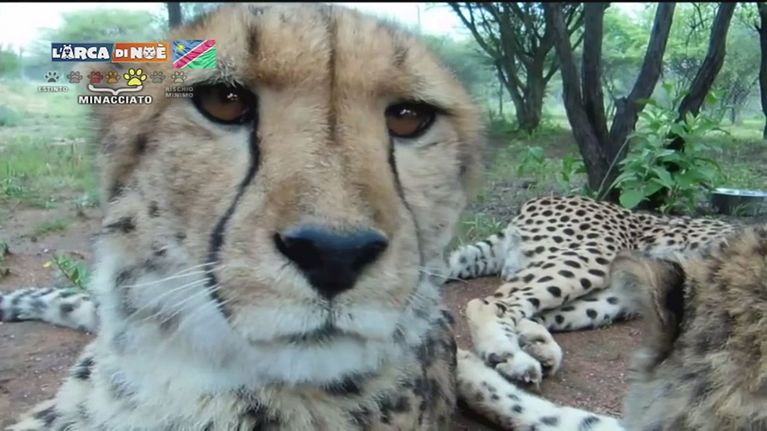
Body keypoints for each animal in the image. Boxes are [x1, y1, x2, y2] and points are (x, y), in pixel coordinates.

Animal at [2, 3, 764, 431]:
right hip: (586, 258)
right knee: (492, 299)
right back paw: (514, 352)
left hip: (618, 291)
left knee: (524, 312)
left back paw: (529, 352)